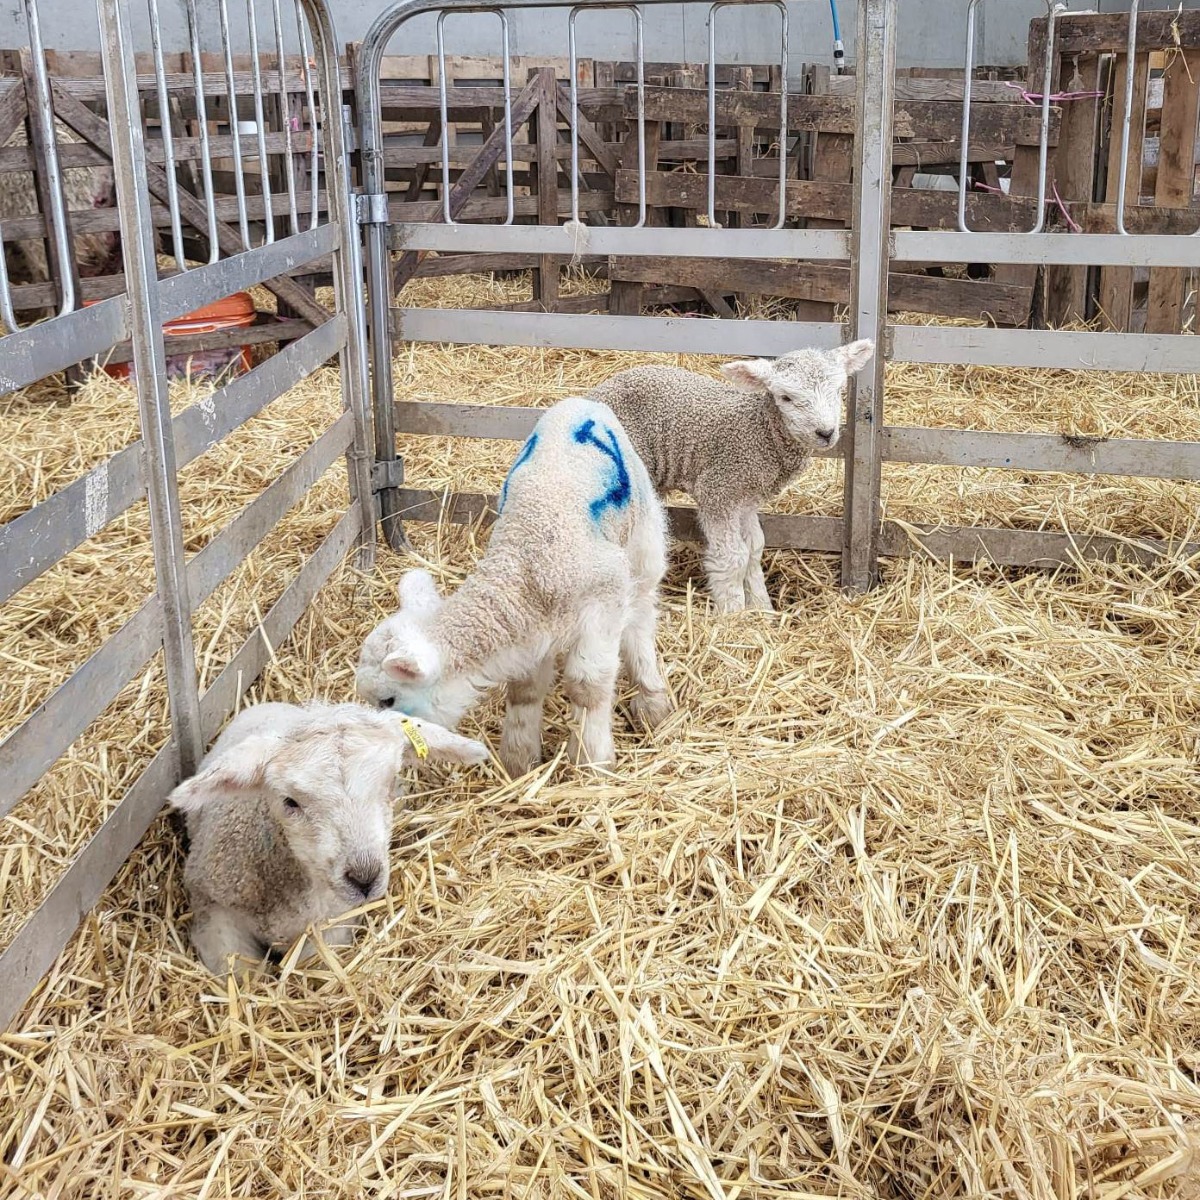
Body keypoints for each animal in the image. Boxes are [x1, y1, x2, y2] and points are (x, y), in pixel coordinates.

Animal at [168, 700, 487, 974]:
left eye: (391, 781)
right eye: (290, 802)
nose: (364, 878)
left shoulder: (335, 926)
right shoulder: (214, 915)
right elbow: (240, 975)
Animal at [355, 393, 676, 777]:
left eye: (388, 699)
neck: (524, 564)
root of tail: (581, 401)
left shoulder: (603, 603)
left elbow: (587, 687)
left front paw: (591, 762)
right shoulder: (531, 633)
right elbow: (524, 690)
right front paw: (519, 760)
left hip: (643, 539)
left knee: (641, 612)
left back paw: (651, 699)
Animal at [588, 340, 878, 614]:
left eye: (839, 391)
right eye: (785, 397)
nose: (825, 433)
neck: (760, 430)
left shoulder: (746, 498)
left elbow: (754, 549)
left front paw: (762, 609)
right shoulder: (720, 488)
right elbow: (733, 555)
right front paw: (733, 613)